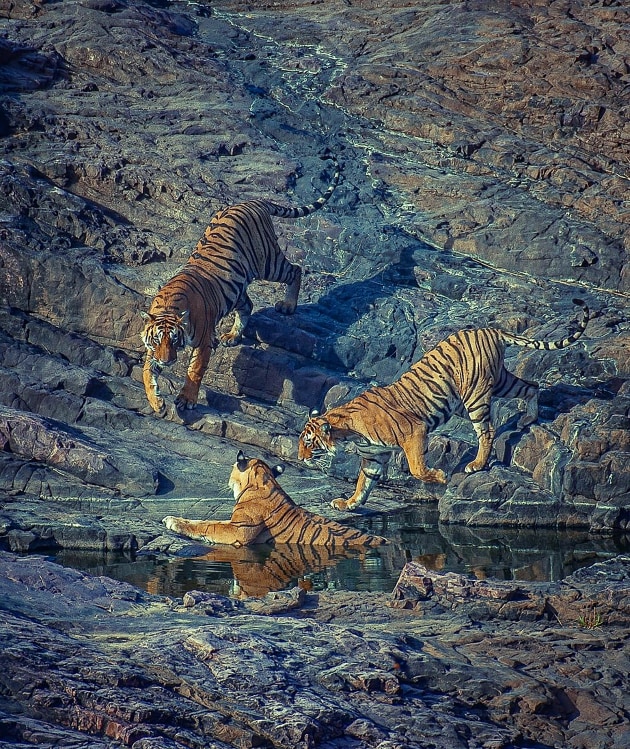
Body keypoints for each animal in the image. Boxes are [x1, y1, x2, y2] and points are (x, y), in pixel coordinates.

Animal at [141, 152, 339, 415]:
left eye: (174, 340)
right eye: (156, 340)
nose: (166, 361)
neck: (170, 307)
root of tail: (251, 202)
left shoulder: (203, 341)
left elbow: (194, 371)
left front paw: (186, 400)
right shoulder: (152, 350)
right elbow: (146, 373)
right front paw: (156, 401)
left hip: (268, 262)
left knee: (295, 270)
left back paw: (288, 305)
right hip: (235, 288)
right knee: (249, 304)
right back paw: (233, 336)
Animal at [162, 450, 388, 547]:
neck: (264, 481)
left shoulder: (239, 530)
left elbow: (207, 526)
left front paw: (173, 522)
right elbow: (204, 521)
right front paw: (172, 519)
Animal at [298, 298, 590, 511]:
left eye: (309, 443)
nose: (300, 458)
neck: (348, 432)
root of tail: (490, 329)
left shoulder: (414, 432)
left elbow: (416, 468)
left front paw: (440, 477)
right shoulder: (373, 456)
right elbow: (364, 484)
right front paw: (348, 504)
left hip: (476, 395)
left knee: (487, 431)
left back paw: (477, 464)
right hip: (497, 383)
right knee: (531, 385)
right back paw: (528, 418)